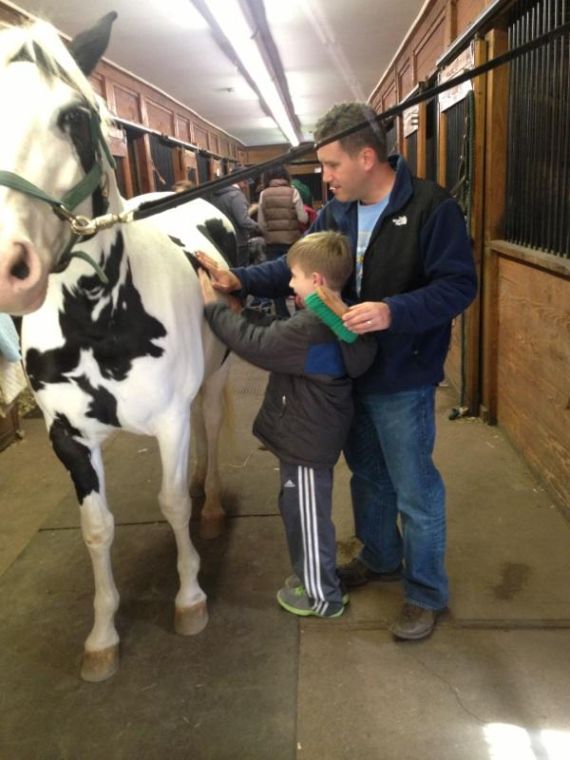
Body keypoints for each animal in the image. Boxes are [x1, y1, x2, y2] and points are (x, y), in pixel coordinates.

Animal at [0, 11, 235, 680]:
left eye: (75, 117)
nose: (9, 266)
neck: (94, 324)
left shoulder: (169, 422)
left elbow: (173, 502)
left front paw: (190, 597)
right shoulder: (70, 439)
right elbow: (97, 529)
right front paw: (103, 633)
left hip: (213, 382)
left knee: (211, 428)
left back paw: (214, 504)